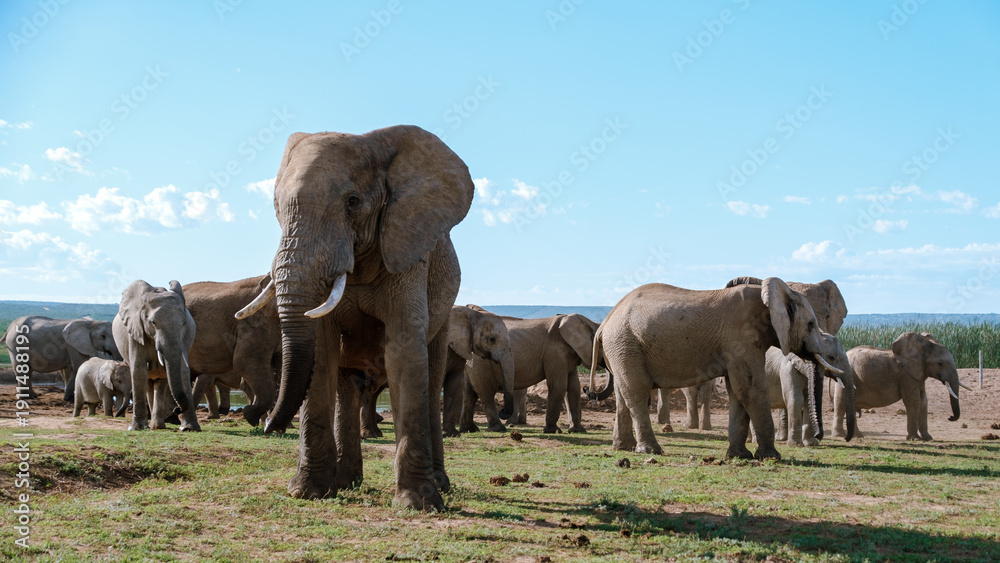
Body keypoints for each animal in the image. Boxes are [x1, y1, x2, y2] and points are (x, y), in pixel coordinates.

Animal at [113, 280, 200, 432]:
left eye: (184, 323)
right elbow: (138, 370)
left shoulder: (184, 338)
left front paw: (189, 429)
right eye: (153, 322)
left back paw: (157, 426)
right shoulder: (135, 331)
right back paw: (153, 426)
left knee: (161, 383)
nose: (177, 409)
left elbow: (183, 371)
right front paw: (136, 428)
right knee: (148, 382)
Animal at [235, 126, 474, 511]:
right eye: (277, 207)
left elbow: (405, 352)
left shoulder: (407, 249)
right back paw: (346, 482)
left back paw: (440, 484)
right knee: (348, 385)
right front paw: (307, 492)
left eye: (352, 202)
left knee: (432, 372)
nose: (268, 424)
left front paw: (417, 503)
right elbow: (322, 352)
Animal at [462, 313, 599, 435]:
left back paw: (470, 429)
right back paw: (497, 429)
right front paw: (553, 431)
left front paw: (578, 431)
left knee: (470, 393)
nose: (588, 390)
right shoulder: (555, 353)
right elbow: (558, 386)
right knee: (486, 392)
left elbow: (573, 387)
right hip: (480, 363)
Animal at [589, 278, 843, 459]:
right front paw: (771, 457)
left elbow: (737, 391)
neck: (769, 293)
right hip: (626, 343)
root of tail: (604, 323)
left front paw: (740, 456)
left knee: (623, 394)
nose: (819, 437)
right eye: (810, 325)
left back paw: (624, 448)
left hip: (621, 348)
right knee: (637, 392)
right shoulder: (741, 338)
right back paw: (651, 451)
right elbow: (749, 388)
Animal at [835, 332, 969, 441]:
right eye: (940, 364)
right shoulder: (906, 375)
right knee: (841, 404)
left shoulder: (918, 375)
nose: (950, 417)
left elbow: (923, 401)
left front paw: (928, 438)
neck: (920, 347)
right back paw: (841, 435)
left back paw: (858, 436)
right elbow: (914, 401)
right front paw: (915, 439)